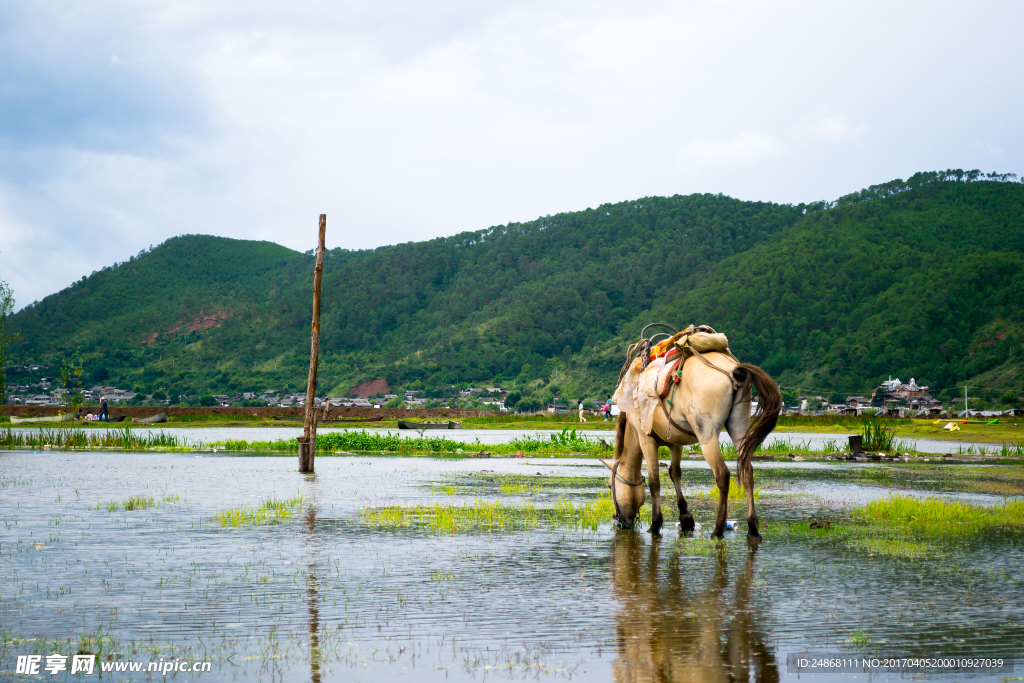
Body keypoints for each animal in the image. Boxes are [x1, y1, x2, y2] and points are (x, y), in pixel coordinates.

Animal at [602, 348, 778, 540]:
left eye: (610, 486)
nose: (618, 522)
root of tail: (732, 370)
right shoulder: (676, 443)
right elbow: (674, 473)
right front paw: (686, 518)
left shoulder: (645, 439)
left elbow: (654, 481)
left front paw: (656, 523)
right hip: (739, 428)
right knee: (747, 473)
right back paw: (752, 528)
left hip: (706, 434)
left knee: (722, 474)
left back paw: (718, 529)